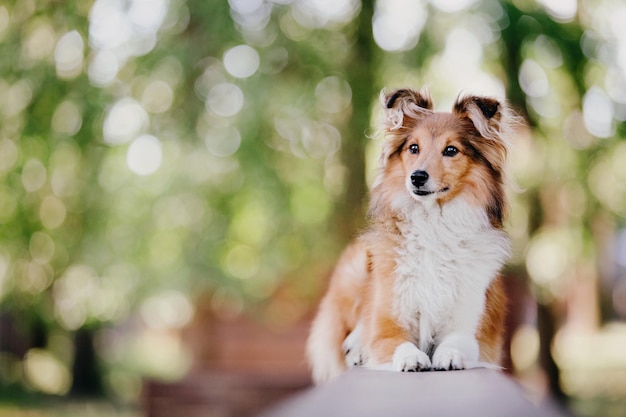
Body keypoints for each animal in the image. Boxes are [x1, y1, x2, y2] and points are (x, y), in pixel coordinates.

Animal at [304, 87, 516, 384]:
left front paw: (448, 355)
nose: (417, 177)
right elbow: (394, 341)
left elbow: (458, 341)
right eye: (413, 148)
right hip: (356, 266)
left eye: (451, 150)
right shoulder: (387, 326)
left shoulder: (473, 329)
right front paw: (411, 358)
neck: (434, 225)